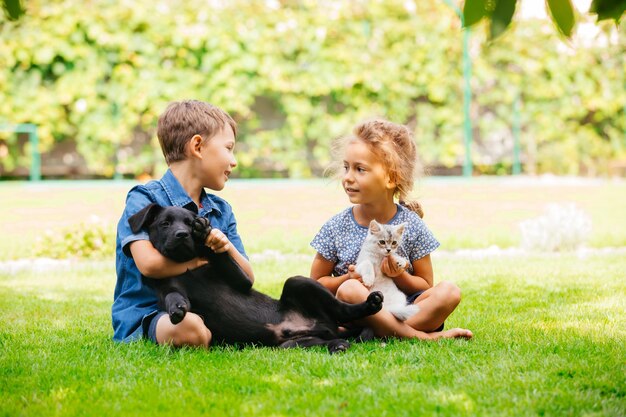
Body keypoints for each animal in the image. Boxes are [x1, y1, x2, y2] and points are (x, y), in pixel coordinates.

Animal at [127, 203, 380, 352]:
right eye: (165, 224)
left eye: (188, 223)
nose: (182, 234)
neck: (187, 267)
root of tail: (326, 327)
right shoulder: (164, 287)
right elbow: (173, 296)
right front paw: (177, 308)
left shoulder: (240, 280)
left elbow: (220, 255)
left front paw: (205, 232)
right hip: (293, 344)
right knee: (325, 340)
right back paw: (337, 344)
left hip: (299, 282)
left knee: (343, 309)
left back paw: (370, 304)